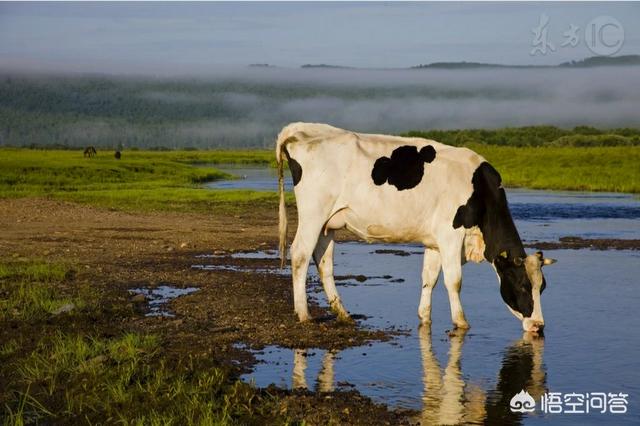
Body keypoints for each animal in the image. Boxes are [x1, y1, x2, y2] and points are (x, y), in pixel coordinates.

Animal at [276, 122, 556, 332]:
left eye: (542, 287)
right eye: (523, 285)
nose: (539, 326)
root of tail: (303, 131)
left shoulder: (435, 241)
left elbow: (429, 278)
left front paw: (424, 316)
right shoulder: (450, 235)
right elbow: (454, 280)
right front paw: (461, 322)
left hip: (329, 222)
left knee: (323, 261)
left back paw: (342, 313)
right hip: (313, 213)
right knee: (300, 254)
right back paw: (304, 314)